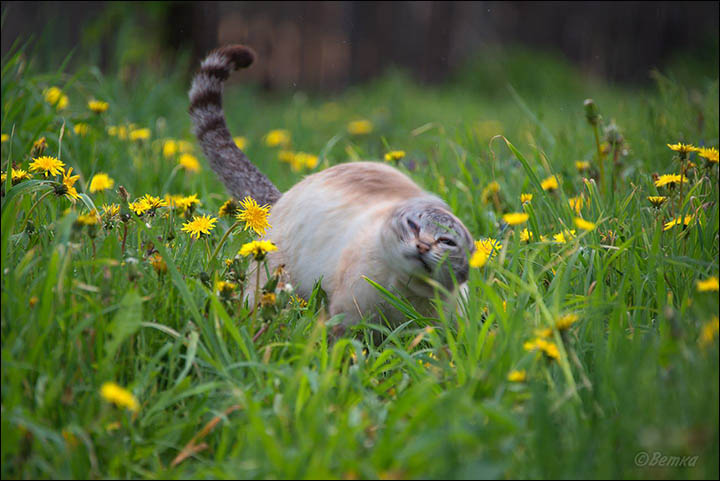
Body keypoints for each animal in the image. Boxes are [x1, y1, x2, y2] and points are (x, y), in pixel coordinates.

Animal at [188, 46, 476, 334]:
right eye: (414, 227)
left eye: (446, 242)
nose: (423, 246)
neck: (406, 299)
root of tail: (281, 198)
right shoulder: (347, 320)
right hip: (271, 282)